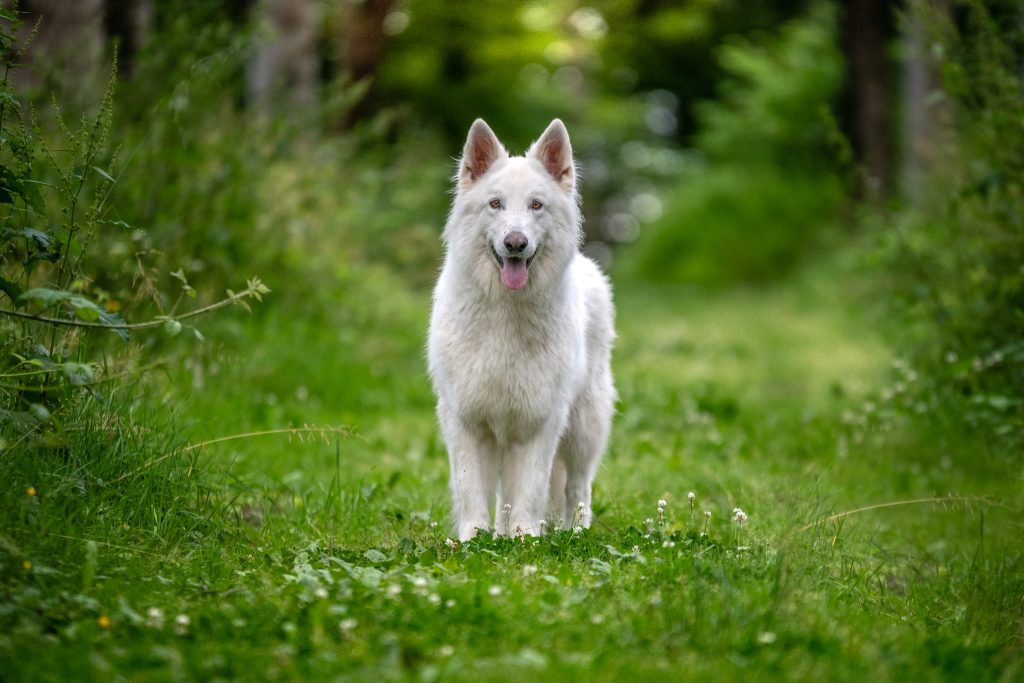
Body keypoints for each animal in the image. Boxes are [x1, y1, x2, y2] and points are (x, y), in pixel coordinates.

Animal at [425, 120, 610, 540]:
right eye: (495, 204)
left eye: (536, 205)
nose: (515, 243)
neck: (505, 315)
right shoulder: (466, 420)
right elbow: (472, 488)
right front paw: (473, 539)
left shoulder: (539, 422)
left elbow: (530, 489)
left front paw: (526, 540)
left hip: (583, 428)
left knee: (577, 487)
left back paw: (574, 533)